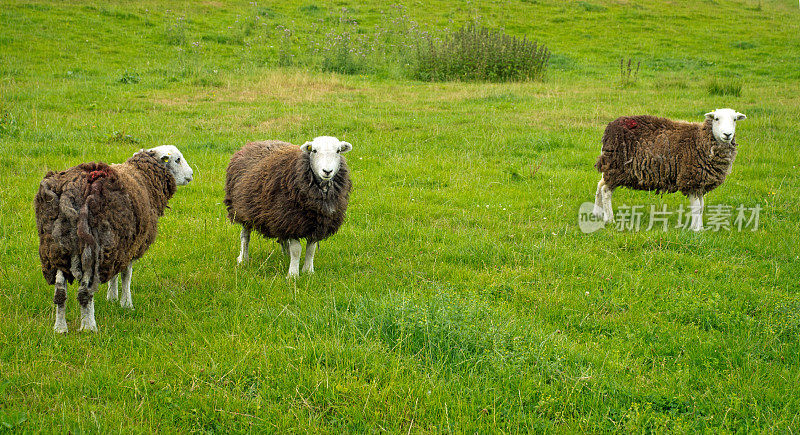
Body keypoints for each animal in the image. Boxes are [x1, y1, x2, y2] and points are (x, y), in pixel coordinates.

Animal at [34, 145, 194, 332]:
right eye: (177, 159)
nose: (191, 175)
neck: (144, 176)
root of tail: (69, 190)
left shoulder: (117, 245)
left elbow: (115, 274)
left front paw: (112, 297)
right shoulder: (130, 245)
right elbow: (126, 275)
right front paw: (126, 304)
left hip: (57, 248)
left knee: (60, 291)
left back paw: (60, 328)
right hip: (91, 247)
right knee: (85, 292)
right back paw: (89, 327)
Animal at [223, 137, 352, 280]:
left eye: (338, 151)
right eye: (314, 150)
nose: (327, 171)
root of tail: (256, 143)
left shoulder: (315, 224)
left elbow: (310, 249)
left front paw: (308, 271)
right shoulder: (292, 221)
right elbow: (296, 250)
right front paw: (293, 275)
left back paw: (285, 255)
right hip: (244, 210)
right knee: (245, 236)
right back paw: (243, 259)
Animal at [592, 109, 748, 232]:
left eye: (734, 119)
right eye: (716, 119)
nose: (727, 134)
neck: (700, 140)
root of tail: (610, 127)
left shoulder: (700, 182)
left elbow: (701, 206)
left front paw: (700, 227)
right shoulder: (690, 179)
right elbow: (696, 207)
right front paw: (696, 229)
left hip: (609, 165)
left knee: (600, 185)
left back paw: (597, 214)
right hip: (617, 167)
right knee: (606, 191)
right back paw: (609, 219)